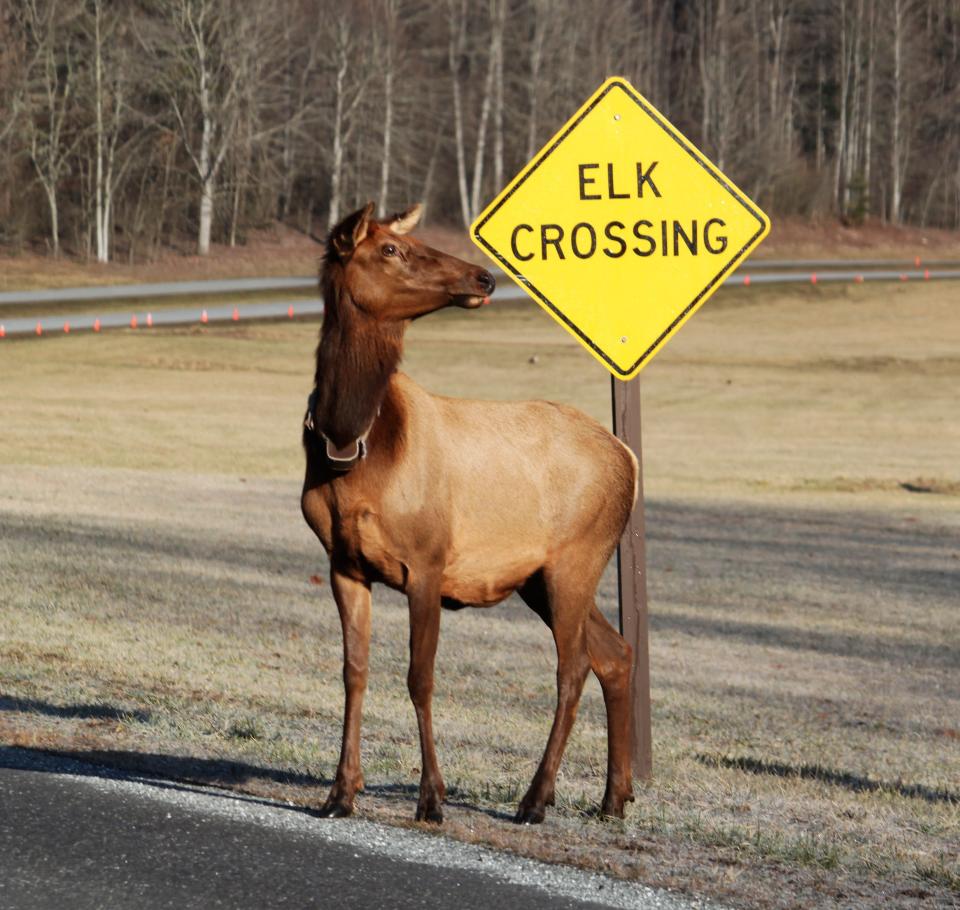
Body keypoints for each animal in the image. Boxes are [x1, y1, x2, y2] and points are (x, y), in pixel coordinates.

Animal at [300, 203, 636, 832]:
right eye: (390, 250)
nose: (484, 277)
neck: (349, 442)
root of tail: (629, 459)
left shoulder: (427, 561)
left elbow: (420, 676)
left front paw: (431, 797)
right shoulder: (344, 563)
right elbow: (354, 672)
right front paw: (340, 793)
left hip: (578, 558)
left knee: (574, 665)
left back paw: (535, 799)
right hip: (539, 578)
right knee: (615, 653)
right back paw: (614, 797)